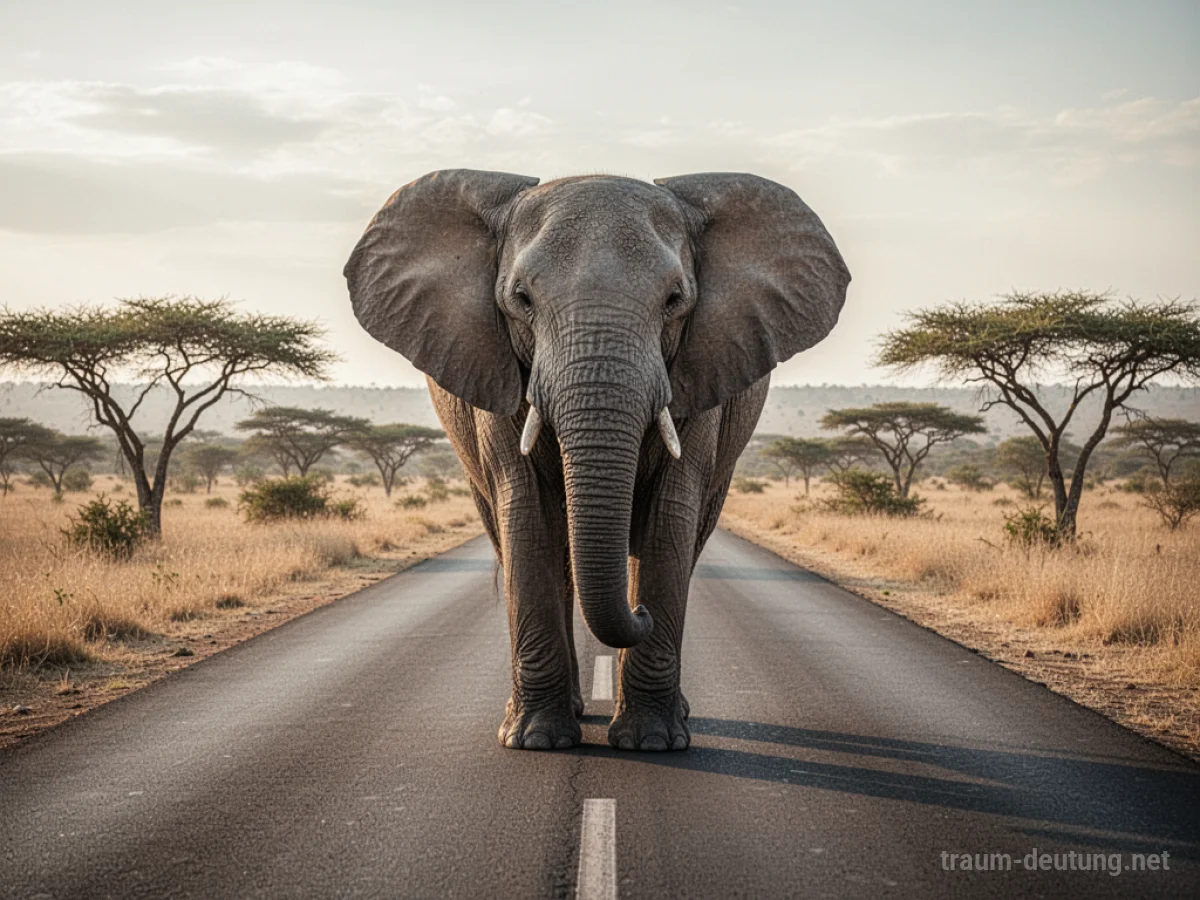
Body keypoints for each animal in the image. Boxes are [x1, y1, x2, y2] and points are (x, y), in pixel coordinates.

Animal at [345, 170, 849, 751]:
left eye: (675, 299)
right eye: (521, 299)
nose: (641, 614)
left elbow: (671, 519)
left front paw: (652, 742)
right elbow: (526, 515)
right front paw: (536, 741)